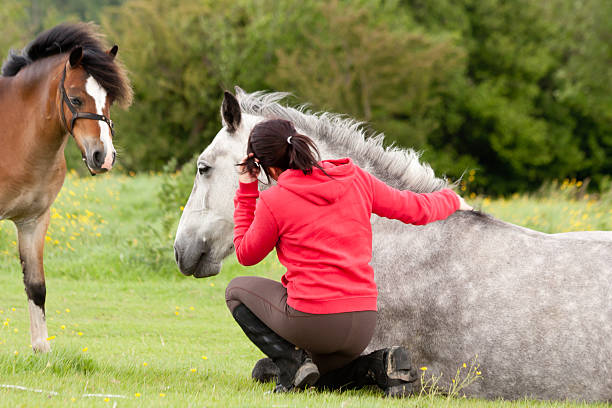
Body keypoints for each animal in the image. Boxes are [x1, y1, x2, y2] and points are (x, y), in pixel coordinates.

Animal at [0, 23, 131, 352]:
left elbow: (36, 286)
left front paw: (41, 349)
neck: (14, 133)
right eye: (75, 99)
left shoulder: (33, 220)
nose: (103, 156)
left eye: (108, 100)